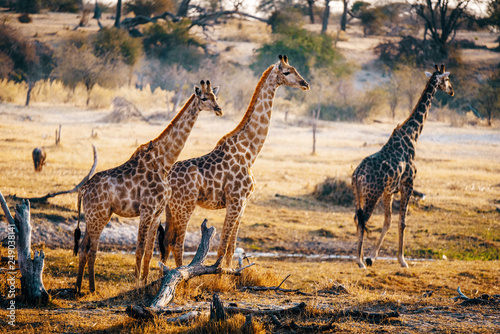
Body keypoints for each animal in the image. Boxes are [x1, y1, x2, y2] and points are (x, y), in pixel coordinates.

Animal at [74, 81, 223, 292]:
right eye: (204, 98)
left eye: (215, 97)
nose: (219, 109)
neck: (164, 162)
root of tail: (83, 190)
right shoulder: (146, 209)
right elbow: (139, 249)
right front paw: (136, 283)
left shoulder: (157, 211)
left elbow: (149, 252)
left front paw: (144, 281)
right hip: (98, 215)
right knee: (91, 249)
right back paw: (91, 289)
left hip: (97, 216)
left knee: (84, 247)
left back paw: (80, 288)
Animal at [159, 55, 308, 268]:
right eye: (287, 72)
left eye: (295, 69)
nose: (305, 84)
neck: (250, 153)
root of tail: (166, 177)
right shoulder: (235, 201)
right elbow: (222, 247)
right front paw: (218, 273)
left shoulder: (243, 203)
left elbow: (231, 247)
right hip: (184, 206)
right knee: (177, 243)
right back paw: (180, 272)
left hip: (171, 208)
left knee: (166, 241)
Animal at [352, 64, 454, 268]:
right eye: (446, 79)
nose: (452, 91)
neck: (413, 135)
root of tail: (357, 174)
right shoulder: (408, 185)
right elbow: (402, 222)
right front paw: (402, 260)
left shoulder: (389, 191)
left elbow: (388, 221)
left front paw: (372, 256)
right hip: (371, 194)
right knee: (363, 219)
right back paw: (358, 261)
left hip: (359, 194)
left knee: (358, 219)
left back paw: (360, 258)